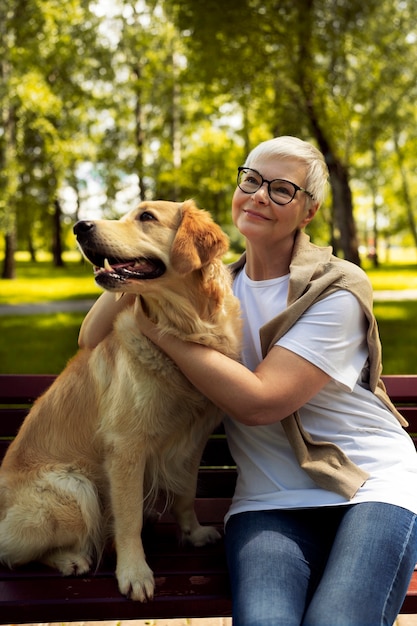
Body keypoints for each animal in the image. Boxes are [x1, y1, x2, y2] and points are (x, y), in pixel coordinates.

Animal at [0, 199, 240, 600]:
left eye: (146, 217)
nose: (79, 227)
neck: (184, 329)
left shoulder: (193, 440)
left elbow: (186, 493)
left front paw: (192, 534)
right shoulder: (126, 447)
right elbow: (129, 519)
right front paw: (134, 572)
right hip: (76, 490)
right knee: (14, 550)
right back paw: (71, 559)